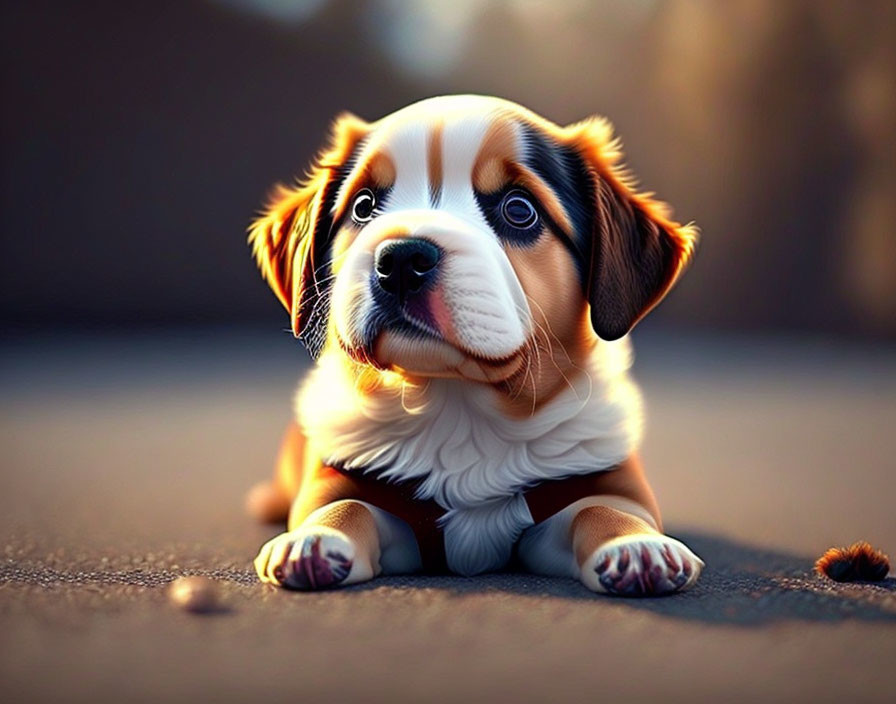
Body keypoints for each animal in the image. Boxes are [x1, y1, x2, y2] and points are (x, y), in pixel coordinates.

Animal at [248, 96, 704, 596]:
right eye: (364, 206)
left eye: (519, 210)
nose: (401, 259)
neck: (457, 405)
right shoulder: (341, 481)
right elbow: (341, 507)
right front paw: (314, 539)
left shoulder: (601, 482)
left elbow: (605, 509)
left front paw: (635, 546)